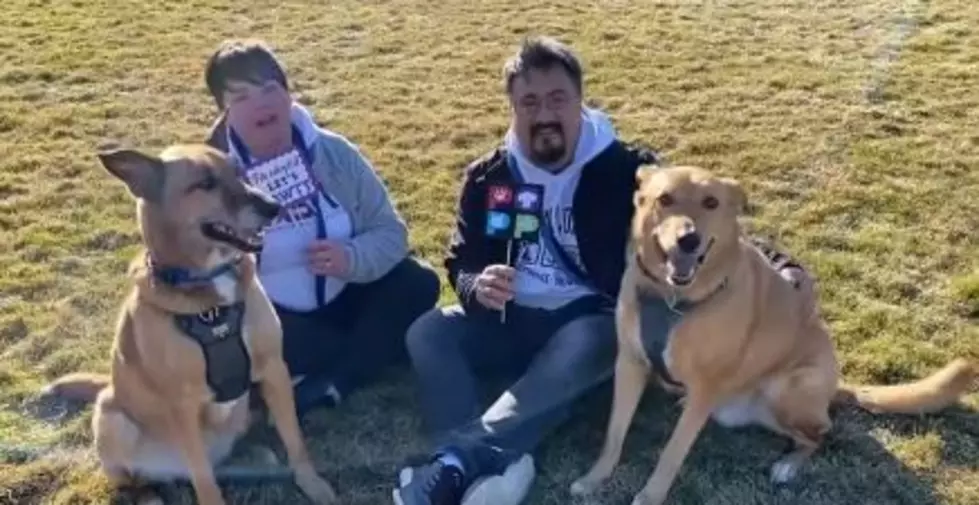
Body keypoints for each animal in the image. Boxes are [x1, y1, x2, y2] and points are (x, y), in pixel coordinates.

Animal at [42, 143, 338, 504]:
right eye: (205, 184)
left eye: (237, 171)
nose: (274, 206)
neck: (211, 293)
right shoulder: (181, 406)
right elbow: (204, 478)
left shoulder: (274, 370)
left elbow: (294, 438)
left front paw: (312, 483)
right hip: (112, 418)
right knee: (139, 478)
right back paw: (149, 495)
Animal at [572, 165, 976, 504]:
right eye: (665, 199)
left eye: (710, 202)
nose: (688, 239)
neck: (675, 300)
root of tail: (836, 387)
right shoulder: (630, 364)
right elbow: (614, 434)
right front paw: (595, 479)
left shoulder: (705, 387)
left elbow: (671, 454)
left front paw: (649, 498)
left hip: (785, 389)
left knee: (821, 433)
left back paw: (788, 465)